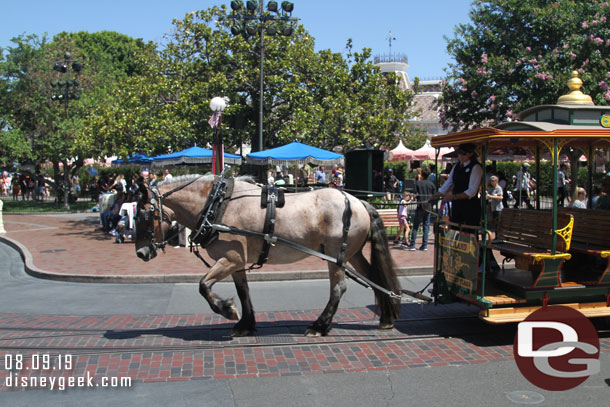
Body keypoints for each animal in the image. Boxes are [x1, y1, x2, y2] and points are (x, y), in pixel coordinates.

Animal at [134, 175, 400, 338]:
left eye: (144, 215)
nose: (141, 252)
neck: (217, 204)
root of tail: (358, 201)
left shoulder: (230, 259)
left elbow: (203, 285)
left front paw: (227, 310)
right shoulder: (236, 262)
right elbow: (243, 291)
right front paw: (245, 324)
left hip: (336, 256)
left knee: (339, 288)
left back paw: (319, 326)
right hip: (351, 255)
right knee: (375, 278)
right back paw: (386, 317)